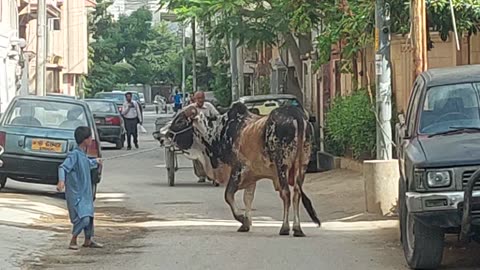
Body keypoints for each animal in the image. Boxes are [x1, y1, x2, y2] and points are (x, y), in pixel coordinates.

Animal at [167, 102, 320, 236]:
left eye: (180, 121)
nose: (164, 136)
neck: (219, 131)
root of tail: (296, 115)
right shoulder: (252, 175)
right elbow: (248, 198)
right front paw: (246, 223)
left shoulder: (238, 169)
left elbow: (228, 195)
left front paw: (242, 219)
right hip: (302, 165)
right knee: (296, 194)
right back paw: (297, 228)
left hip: (282, 164)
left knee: (286, 193)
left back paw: (285, 227)